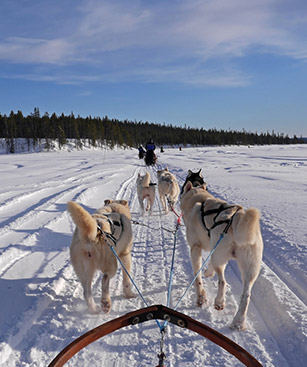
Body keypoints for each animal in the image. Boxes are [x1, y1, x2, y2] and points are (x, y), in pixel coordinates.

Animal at [180, 183, 264, 332]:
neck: (198, 198)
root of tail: (237, 218)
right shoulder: (211, 246)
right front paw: (208, 272)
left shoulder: (195, 248)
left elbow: (197, 277)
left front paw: (201, 297)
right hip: (249, 268)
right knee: (246, 295)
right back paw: (238, 322)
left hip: (219, 258)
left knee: (223, 282)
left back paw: (219, 302)